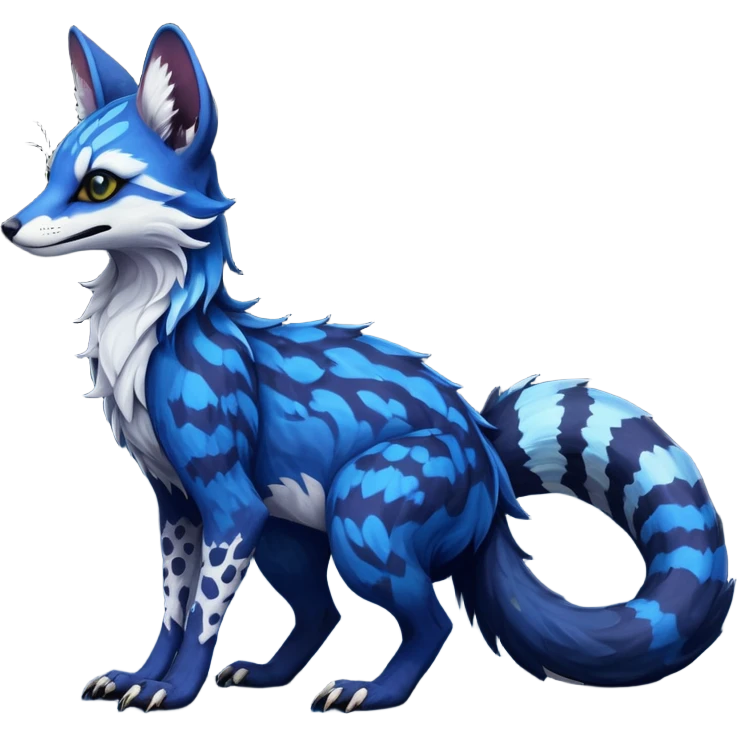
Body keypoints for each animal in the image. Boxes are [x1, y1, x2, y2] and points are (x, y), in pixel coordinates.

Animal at [3, 24, 733, 715]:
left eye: (99, 184)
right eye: (51, 172)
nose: (12, 227)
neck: (150, 332)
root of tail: (487, 458)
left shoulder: (229, 501)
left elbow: (204, 611)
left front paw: (176, 691)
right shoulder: (177, 501)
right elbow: (172, 606)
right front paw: (142, 676)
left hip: (360, 515)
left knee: (432, 622)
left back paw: (371, 692)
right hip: (289, 535)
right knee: (323, 611)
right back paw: (270, 675)